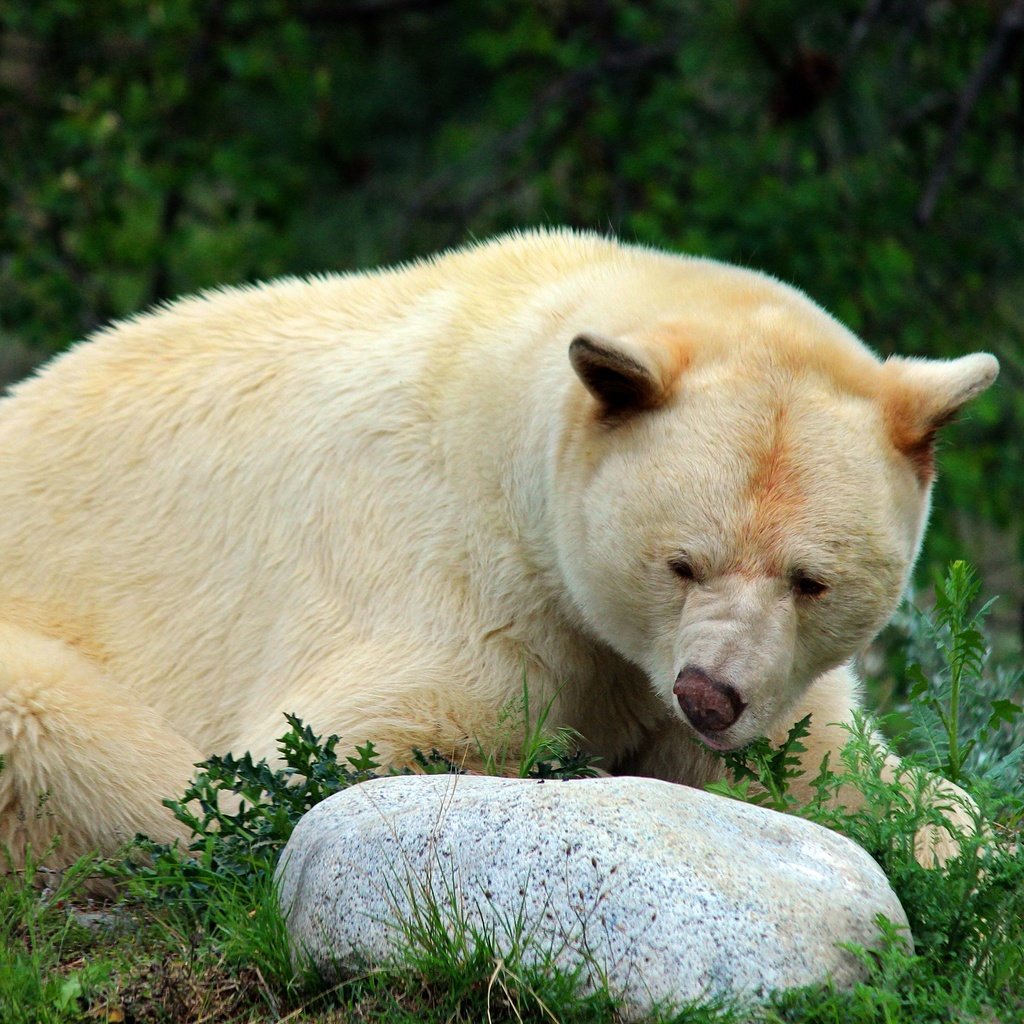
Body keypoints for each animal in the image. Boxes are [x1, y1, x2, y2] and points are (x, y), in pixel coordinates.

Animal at [0, 228, 995, 868]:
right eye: (681, 562)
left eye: (810, 580)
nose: (707, 696)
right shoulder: (444, 578)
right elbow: (341, 753)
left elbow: (835, 762)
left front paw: (956, 838)